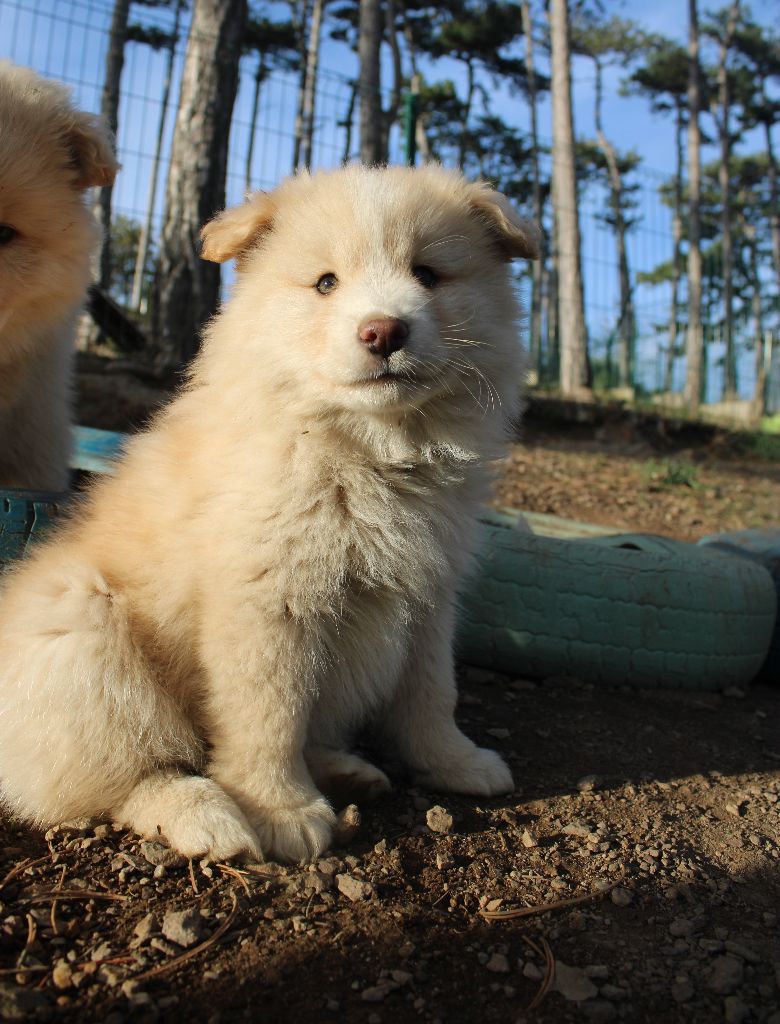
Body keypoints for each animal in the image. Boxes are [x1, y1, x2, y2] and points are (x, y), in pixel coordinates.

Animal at [0, 163, 536, 860]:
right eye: (326, 283)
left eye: (428, 274)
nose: (384, 331)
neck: (361, 448)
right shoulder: (267, 604)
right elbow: (269, 714)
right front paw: (280, 810)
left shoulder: (428, 599)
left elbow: (430, 695)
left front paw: (456, 763)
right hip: (79, 634)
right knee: (126, 775)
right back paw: (206, 816)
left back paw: (345, 769)